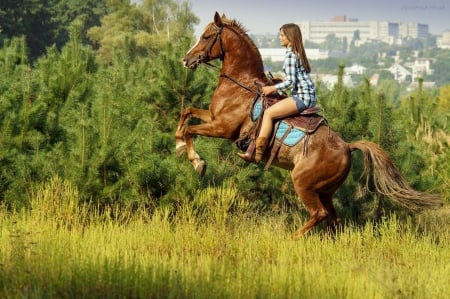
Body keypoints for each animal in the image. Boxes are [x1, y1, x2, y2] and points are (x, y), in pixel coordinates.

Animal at [175, 12, 440, 239]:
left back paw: (291, 239)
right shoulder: (212, 116)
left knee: (319, 214)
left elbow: (190, 129)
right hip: (325, 190)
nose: (185, 59)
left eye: (206, 37)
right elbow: (186, 112)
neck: (241, 84)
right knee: (333, 219)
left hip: (303, 183)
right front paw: (178, 144)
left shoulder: (223, 128)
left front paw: (197, 163)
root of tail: (347, 146)